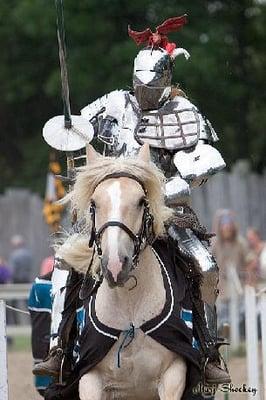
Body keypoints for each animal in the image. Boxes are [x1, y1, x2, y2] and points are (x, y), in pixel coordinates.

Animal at [58, 145, 200, 400]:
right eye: (94, 203)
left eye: (141, 201)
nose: (115, 266)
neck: (129, 309)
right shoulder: (89, 379)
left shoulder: (173, 375)